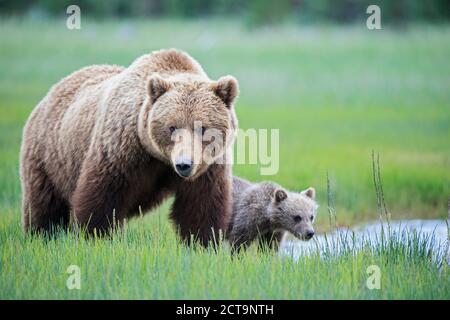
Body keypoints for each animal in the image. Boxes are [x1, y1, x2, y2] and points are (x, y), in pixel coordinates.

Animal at [20, 49, 239, 245]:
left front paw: (202, 243)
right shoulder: (122, 150)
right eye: (172, 127)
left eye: (202, 128)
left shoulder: (208, 166)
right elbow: (102, 196)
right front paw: (96, 237)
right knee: (46, 206)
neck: (159, 157)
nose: (184, 164)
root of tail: (52, 91)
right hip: (48, 157)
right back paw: (42, 236)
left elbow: (201, 206)